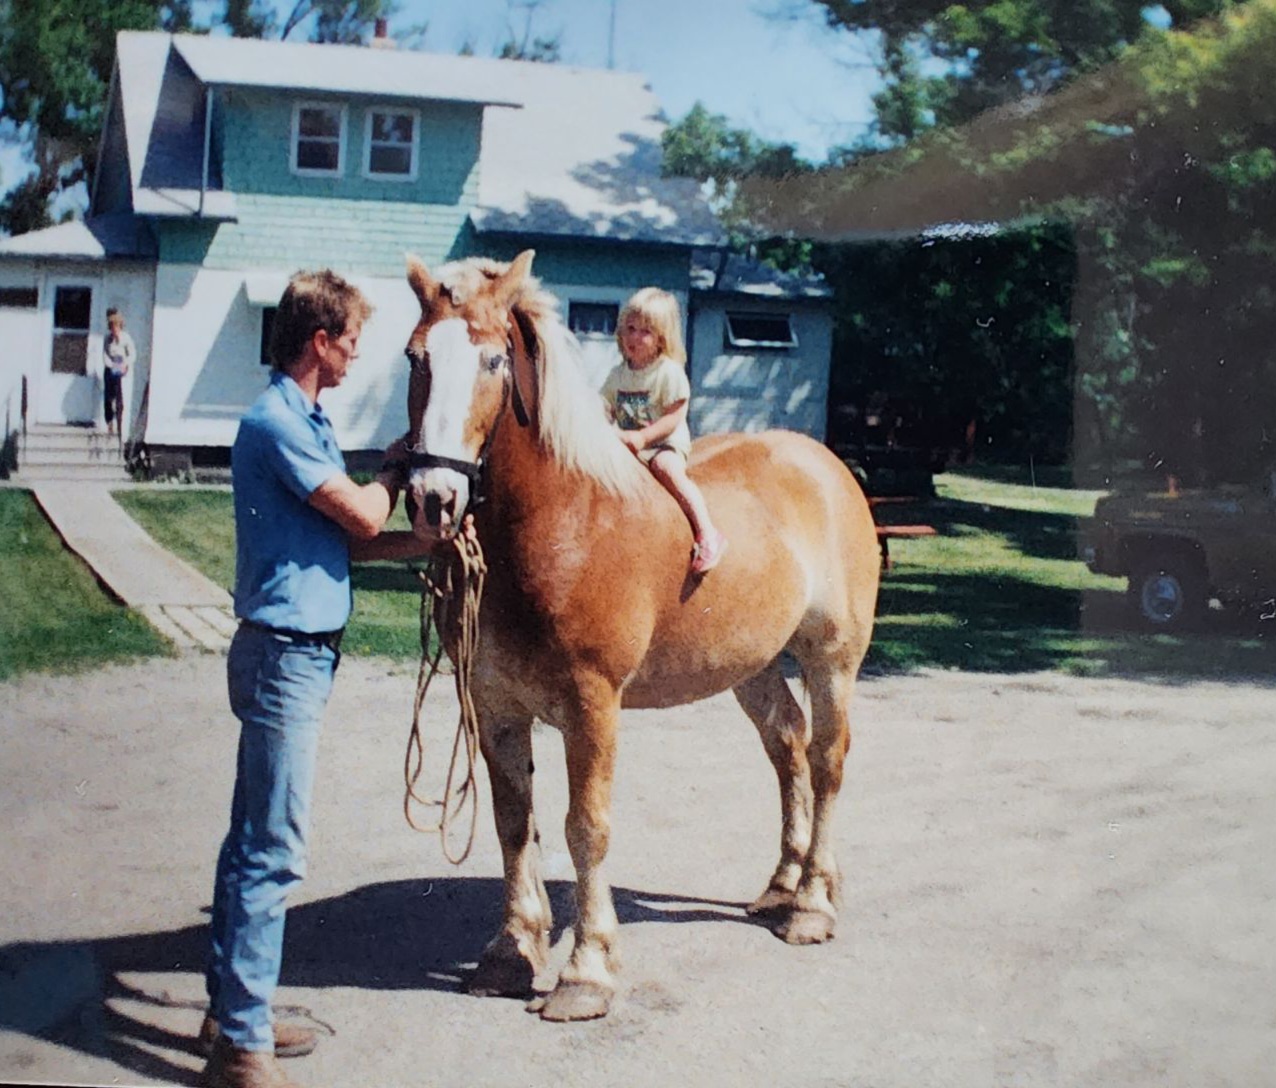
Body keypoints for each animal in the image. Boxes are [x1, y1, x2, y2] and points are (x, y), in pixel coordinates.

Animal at [400, 250, 880, 1022]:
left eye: (494, 360)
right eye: (416, 357)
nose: (432, 498)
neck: (563, 518)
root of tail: (827, 467)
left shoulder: (591, 704)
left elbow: (585, 827)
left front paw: (586, 972)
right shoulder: (493, 703)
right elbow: (513, 821)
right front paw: (512, 952)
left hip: (833, 660)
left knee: (828, 761)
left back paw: (811, 905)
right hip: (753, 668)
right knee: (788, 749)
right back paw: (785, 882)